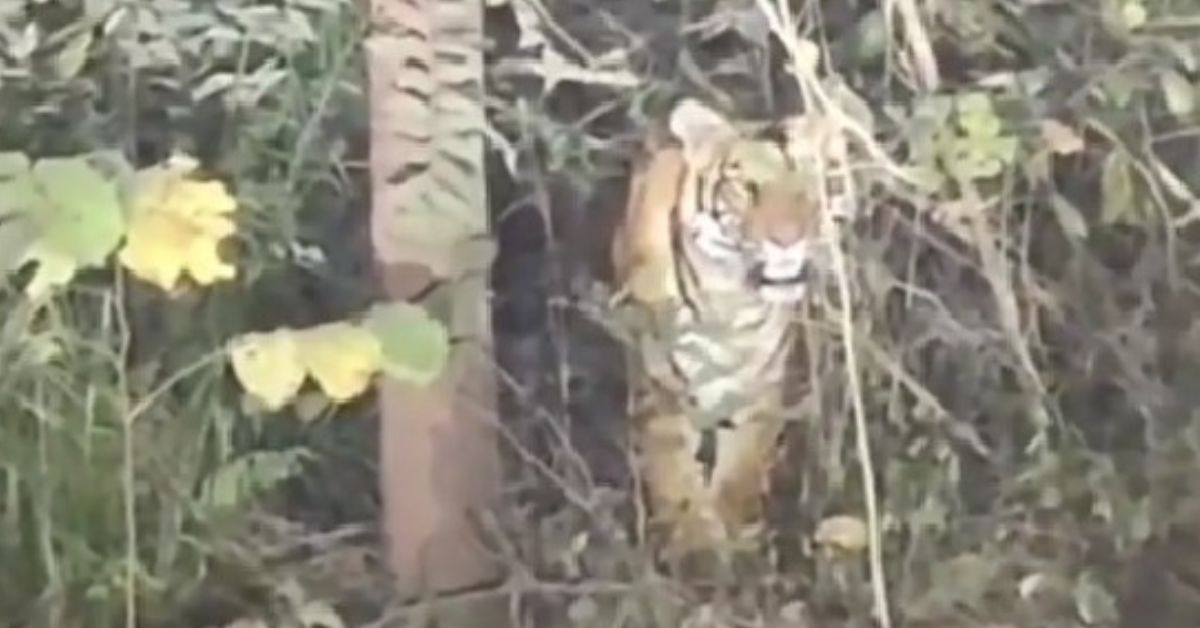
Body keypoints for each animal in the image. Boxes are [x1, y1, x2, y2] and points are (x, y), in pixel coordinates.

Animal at [610, 98, 851, 558]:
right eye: (747, 188)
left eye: (813, 186)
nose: (787, 241)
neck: (731, 301)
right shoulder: (660, 390)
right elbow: (676, 482)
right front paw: (697, 553)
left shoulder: (761, 394)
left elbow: (739, 475)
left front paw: (733, 541)